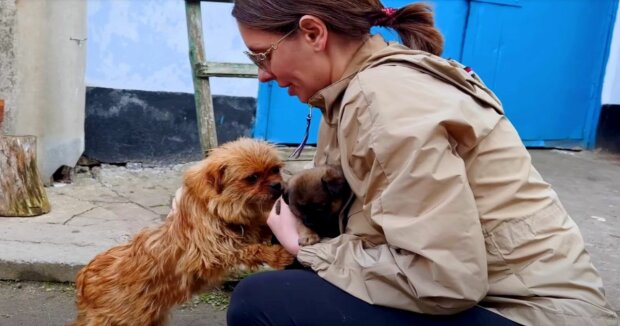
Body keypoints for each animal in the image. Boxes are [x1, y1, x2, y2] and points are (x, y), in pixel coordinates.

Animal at [71, 138, 294, 326]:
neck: (215, 209)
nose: (277, 185)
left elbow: (260, 228)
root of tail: (84, 279)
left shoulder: (246, 227)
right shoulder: (210, 253)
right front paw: (277, 254)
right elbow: (249, 249)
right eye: (252, 178)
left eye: (275, 169)